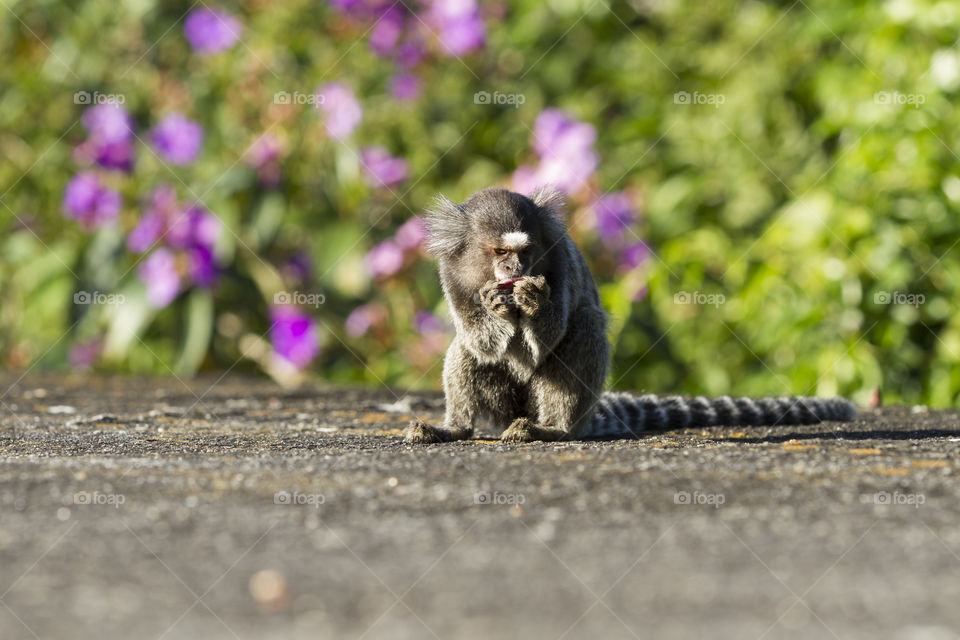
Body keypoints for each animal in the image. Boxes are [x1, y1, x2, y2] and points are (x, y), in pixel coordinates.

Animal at [404, 188, 856, 442]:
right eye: (500, 251)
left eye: (526, 250)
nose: (516, 269)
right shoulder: (450, 271)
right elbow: (479, 340)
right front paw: (494, 307)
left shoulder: (558, 260)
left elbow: (547, 340)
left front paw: (533, 301)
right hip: (502, 406)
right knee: (462, 350)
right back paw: (454, 429)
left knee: (585, 328)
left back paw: (552, 429)